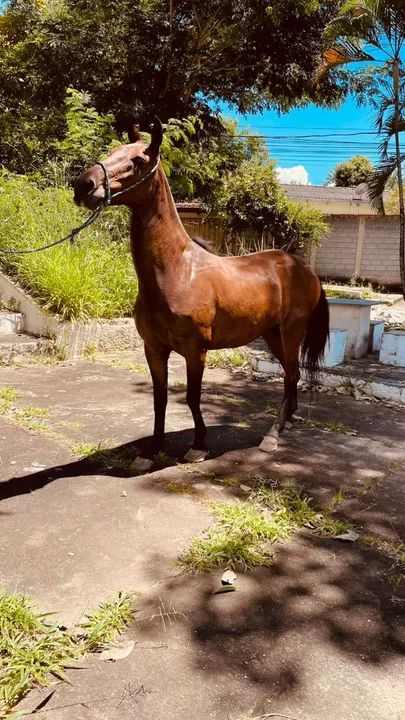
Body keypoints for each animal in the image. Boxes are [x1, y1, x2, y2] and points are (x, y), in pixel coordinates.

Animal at [73, 118, 329, 471]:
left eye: (138, 160)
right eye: (112, 151)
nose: (84, 185)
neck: (177, 270)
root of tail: (304, 269)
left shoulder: (196, 351)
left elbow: (193, 397)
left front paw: (198, 446)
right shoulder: (154, 349)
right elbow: (160, 399)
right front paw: (150, 452)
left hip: (292, 332)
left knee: (291, 376)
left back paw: (272, 436)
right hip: (272, 334)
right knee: (294, 375)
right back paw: (288, 421)